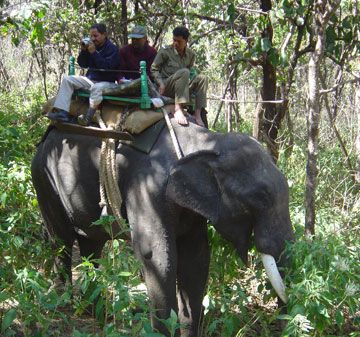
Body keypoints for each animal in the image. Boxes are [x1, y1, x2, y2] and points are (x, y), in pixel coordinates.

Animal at [31, 116, 294, 336]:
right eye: (261, 197)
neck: (208, 141)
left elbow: (196, 259)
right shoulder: (147, 188)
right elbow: (157, 257)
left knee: (91, 244)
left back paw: (95, 313)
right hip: (43, 179)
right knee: (61, 239)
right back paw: (61, 302)